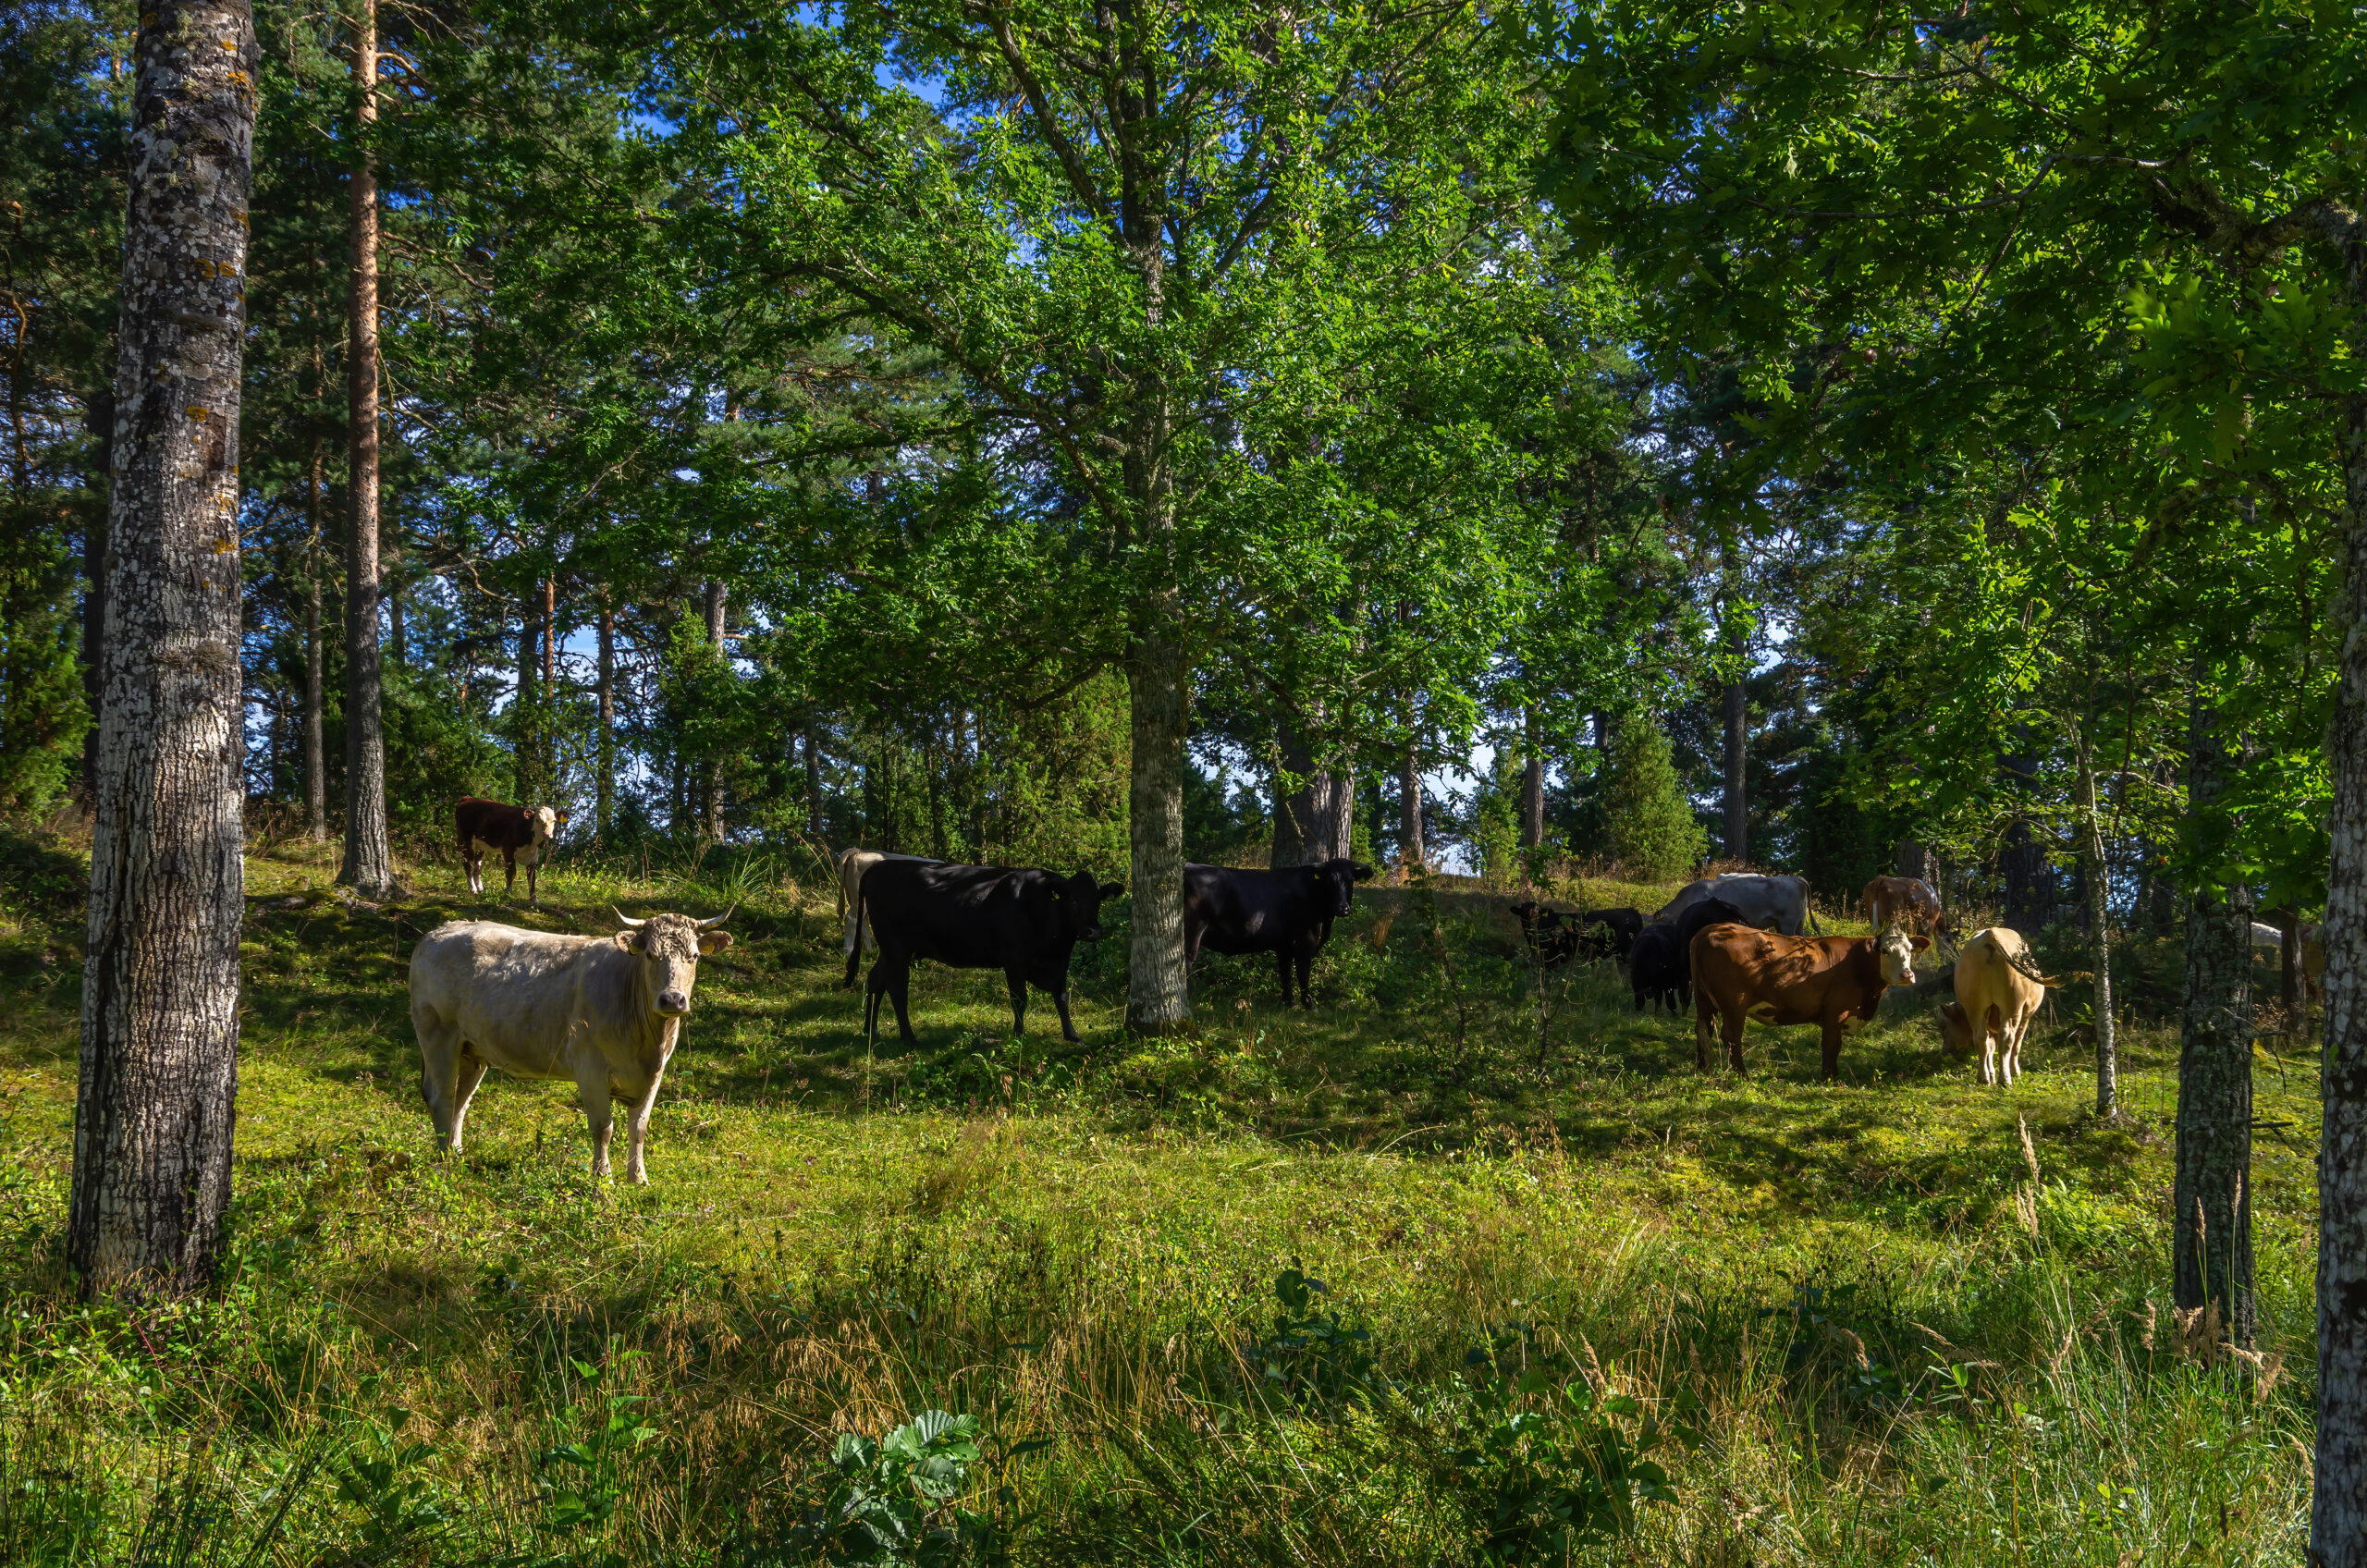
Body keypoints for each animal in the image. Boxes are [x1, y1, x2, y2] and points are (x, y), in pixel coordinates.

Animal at [404, 909, 729, 1179]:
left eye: (694, 957)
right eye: (649, 955)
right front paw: (603, 1184)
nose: (672, 999)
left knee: (461, 1100)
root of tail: (439, 932)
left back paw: (458, 1154)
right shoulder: (590, 1068)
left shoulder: (655, 1073)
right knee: (442, 1097)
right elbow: (602, 1129)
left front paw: (638, 1180)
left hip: (472, 1051)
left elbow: (639, 1128)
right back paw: (446, 1163)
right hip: (437, 1036)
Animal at [847, 866, 1122, 1051]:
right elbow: (1019, 999)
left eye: (1098, 900)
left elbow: (1062, 998)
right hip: (897, 947)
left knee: (876, 981)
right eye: (1073, 900)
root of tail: (878, 867)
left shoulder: (1059, 962)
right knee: (897, 989)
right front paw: (1019, 1033)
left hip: (890, 950)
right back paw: (908, 1037)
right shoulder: (1014, 960)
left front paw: (1072, 1035)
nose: (1093, 930)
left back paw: (871, 1029)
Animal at [1193, 862, 1382, 1009]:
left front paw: (1289, 1001)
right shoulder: (1304, 944)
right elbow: (1303, 974)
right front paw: (1309, 1004)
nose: (1343, 908)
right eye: (1330, 880)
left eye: (1350, 880)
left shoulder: (1283, 946)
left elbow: (1286, 973)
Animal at [1694, 928, 1931, 1089]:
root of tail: (1710, 929)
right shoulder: (1835, 1011)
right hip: (1734, 1004)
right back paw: (1743, 1076)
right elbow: (1831, 1045)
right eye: (1885, 950)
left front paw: (1834, 1074)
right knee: (1731, 1036)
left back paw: (1702, 1069)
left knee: (1703, 1030)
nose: (1907, 975)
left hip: (1704, 1001)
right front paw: (1828, 1078)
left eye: (1910, 950)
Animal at [1941, 928, 2054, 1089]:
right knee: (2008, 1037)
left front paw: (1991, 1074)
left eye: (1944, 1027)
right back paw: (2005, 1079)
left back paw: (1983, 1078)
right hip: (2012, 1007)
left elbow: (1990, 1046)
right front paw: (2014, 1071)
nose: (1943, 1052)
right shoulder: (2026, 1014)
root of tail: (1991, 932)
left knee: (1981, 1038)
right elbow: (2016, 1043)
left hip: (1974, 1007)